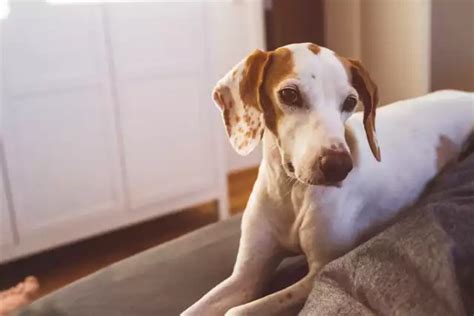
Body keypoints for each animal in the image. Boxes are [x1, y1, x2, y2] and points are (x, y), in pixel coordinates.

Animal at [182, 42, 474, 316]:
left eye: (350, 102)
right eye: (289, 94)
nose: (338, 166)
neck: (291, 192)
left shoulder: (320, 271)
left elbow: (237, 310)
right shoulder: (246, 276)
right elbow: (194, 309)